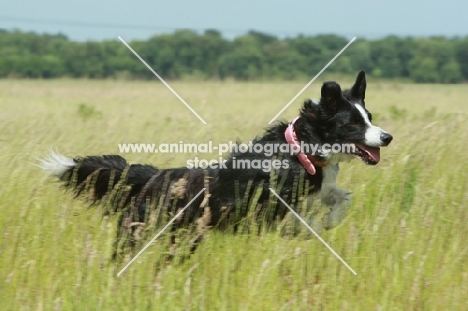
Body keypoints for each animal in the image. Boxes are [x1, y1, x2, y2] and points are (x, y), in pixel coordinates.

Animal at [40, 70, 392, 256]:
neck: (302, 147)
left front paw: (330, 219)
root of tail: (152, 176)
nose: (387, 137)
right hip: (140, 231)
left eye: (369, 117)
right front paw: (315, 228)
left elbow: (342, 197)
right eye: (353, 123)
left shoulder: (319, 188)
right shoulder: (268, 208)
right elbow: (301, 221)